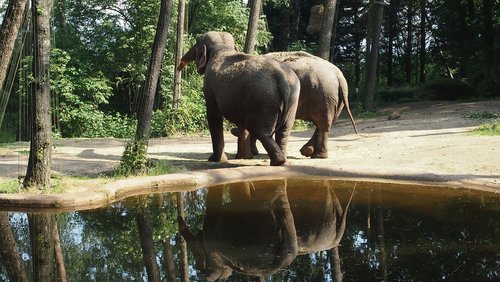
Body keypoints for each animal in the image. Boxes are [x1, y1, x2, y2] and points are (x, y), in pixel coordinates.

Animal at [177, 32, 298, 166]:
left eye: (197, 42)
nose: (178, 67)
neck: (223, 47)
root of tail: (281, 77)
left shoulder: (209, 86)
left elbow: (214, 116)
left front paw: (215, 159)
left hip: (262, 101)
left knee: (261, 132)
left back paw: (278, 162)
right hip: (292, 99)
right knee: (284, 131)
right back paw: (283, 162)